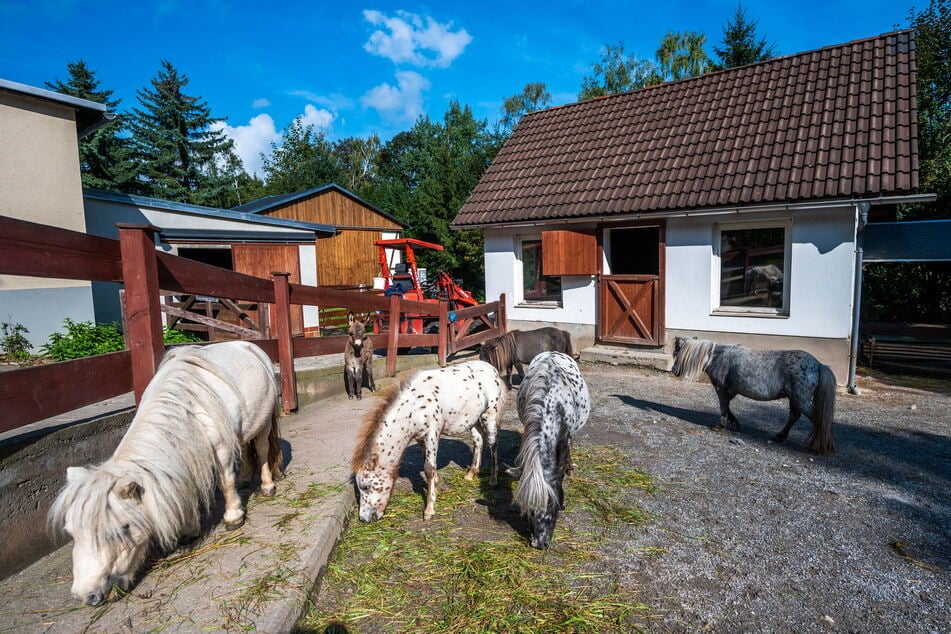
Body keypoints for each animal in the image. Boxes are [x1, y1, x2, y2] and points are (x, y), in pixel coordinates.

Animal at [47, 338, 282, 604]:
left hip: (263, 423)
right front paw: (189, 529)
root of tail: (249, 346)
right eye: (72, 533)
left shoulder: (220, 449)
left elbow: (225, 482)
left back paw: (267, 486)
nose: (87, 596)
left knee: (261, 450)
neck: (187, 407)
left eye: (121, 530)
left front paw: (233, 517)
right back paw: (245, 480)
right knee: (243, 446)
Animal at [354, 358, 510, 520]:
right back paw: (470, 474)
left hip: (489, 415)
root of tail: (493, 369)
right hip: (473, 419)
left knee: (493, 443)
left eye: (366, 486)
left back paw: (493, 480)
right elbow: (427, 463)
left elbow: (429, 468)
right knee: (478, 441)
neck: (415, 406)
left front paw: (429, 510)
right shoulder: (420, 437)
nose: (364, 518)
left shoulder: (431, 434)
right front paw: (436, 483)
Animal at [672, 336, 836, 454]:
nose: (674, 370)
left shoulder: (721, 389)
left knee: (816, 419)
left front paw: (720, 425)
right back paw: (780, 436)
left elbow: (723, 407)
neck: (716, 357)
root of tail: (818, 365)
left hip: (800, 399)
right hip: (794, 399)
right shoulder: (730, 391)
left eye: (677, 352)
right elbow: (728, 407)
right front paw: (735, 423)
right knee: (794, 416)